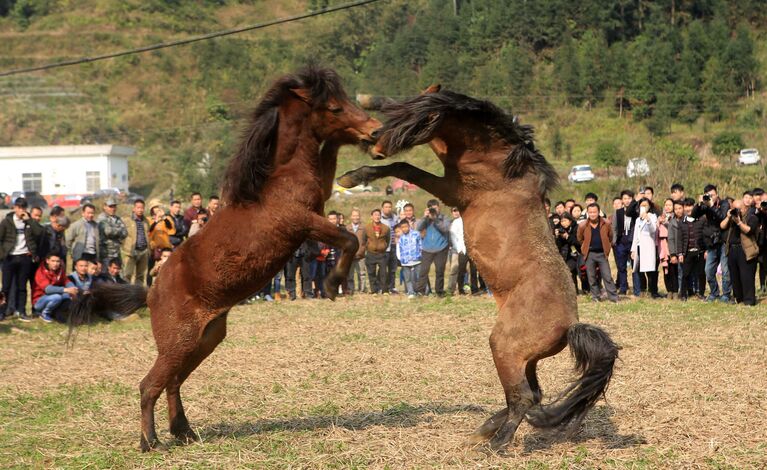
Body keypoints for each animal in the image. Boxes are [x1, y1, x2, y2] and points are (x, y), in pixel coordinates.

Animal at [84, 67, 380, 452]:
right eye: (334, 107)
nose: (375, 131)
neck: (278, 179)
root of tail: (150, 292)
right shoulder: (305, 221)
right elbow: (350, 238)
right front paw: (332, 285)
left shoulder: (316, 205)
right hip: (178, 341)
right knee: (150, 385)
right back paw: (150, 441)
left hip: (205, 338)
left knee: (173, 382)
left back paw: (183, 431)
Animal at [340, 88, 620, 452]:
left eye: (418, 121)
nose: (375, 143)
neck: (499, 160)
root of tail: (570, 325)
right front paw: (368, 100)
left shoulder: (453, 190)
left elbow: (406, 167)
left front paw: (351, 176)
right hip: (523, 358)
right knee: (532, 393)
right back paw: (484, 430)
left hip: (504, 346)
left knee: (523, 397)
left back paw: (496, 442)